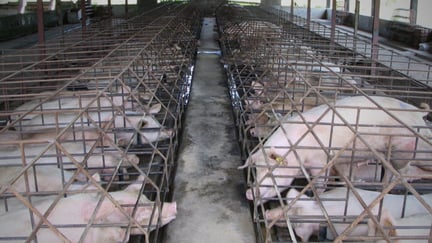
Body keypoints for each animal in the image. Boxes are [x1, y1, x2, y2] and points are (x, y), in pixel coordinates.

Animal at [241, 96, 430, 202]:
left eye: (272, 172)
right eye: (256, 170)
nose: (249, 193)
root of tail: (417, 112)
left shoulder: (321, 160)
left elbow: (320, 181)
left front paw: (315, 195)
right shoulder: (340, 159)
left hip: (404, 149)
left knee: (400, 171)